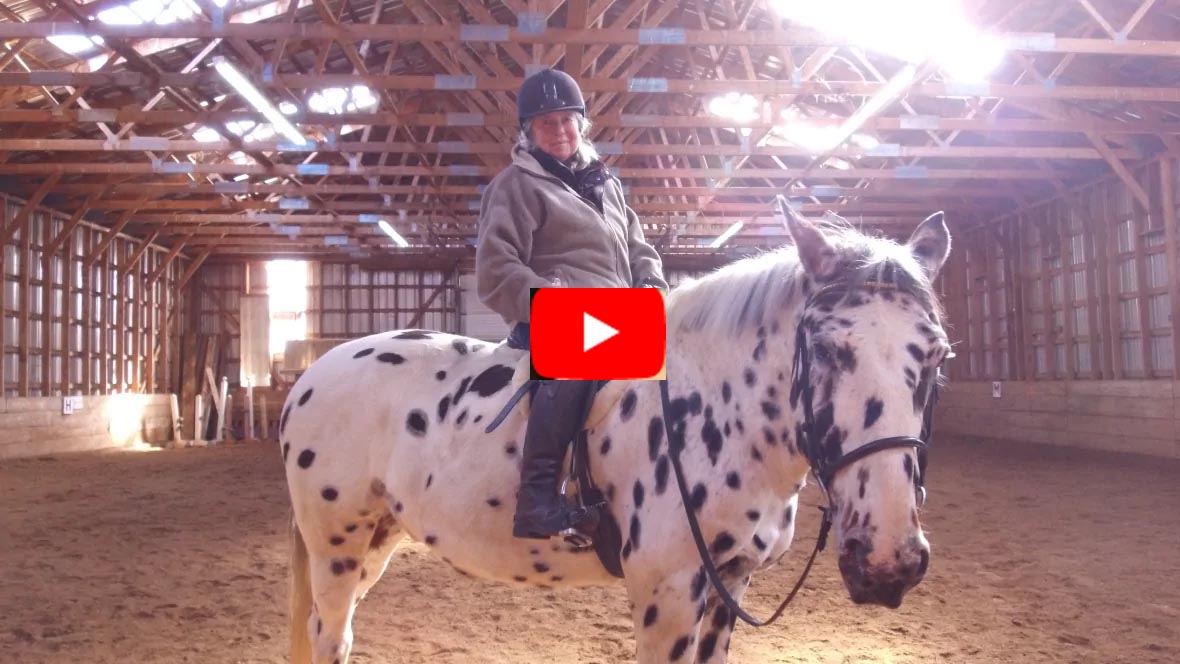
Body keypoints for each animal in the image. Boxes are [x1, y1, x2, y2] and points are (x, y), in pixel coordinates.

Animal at [283, 199, 948, 664]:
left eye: (937, 356)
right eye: (827, 349)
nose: (887, 562)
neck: (718, 412)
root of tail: (313, 374)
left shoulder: (729, 584)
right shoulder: (667, 592)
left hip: (377, 539)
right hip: (336, 543)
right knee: (329, 636)